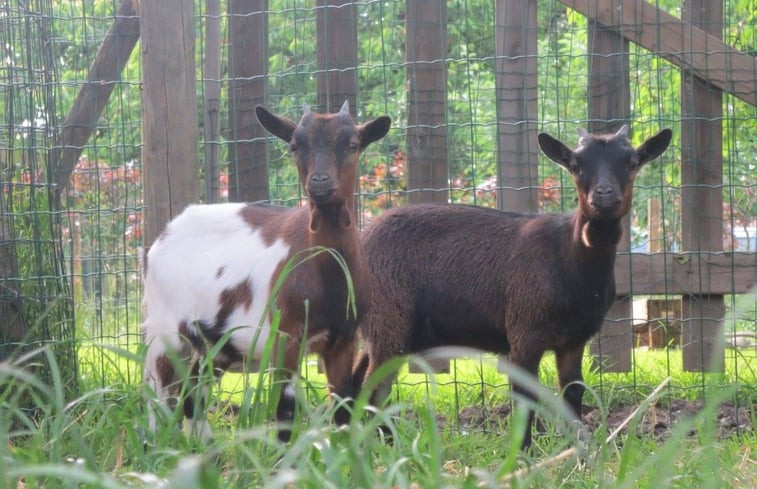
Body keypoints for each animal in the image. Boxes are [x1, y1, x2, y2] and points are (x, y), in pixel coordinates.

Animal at [143, 101, 390, 440]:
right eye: (295, 145)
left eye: (353, 145)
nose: (320, 182)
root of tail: (165, 233)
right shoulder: (286, 337)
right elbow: (286, 412)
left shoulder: (344, 340)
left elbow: (343, 407)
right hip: (164, 331)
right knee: (157, 395)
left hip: (215, 344)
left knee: (192, 396)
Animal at [352, 125, 672, 446]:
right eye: (576, 165)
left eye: (631, 163)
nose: (604, 195)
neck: (569, 261)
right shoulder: (524, 332)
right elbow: (525, 396)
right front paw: (523, 451)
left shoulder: (574, 339)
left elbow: (572, 392)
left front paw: (573, 449)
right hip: (389, 321)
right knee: (373, 387)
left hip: (383, 327)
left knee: (356, 380)